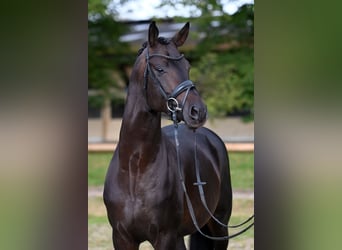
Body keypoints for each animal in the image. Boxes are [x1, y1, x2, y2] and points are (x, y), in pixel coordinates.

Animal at [103, 22, 232, 250]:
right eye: (160, 68)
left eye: (187, 67)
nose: (198, 111)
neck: (135, 168)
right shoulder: (121, 238)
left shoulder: (165, 237)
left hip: (219, 225)